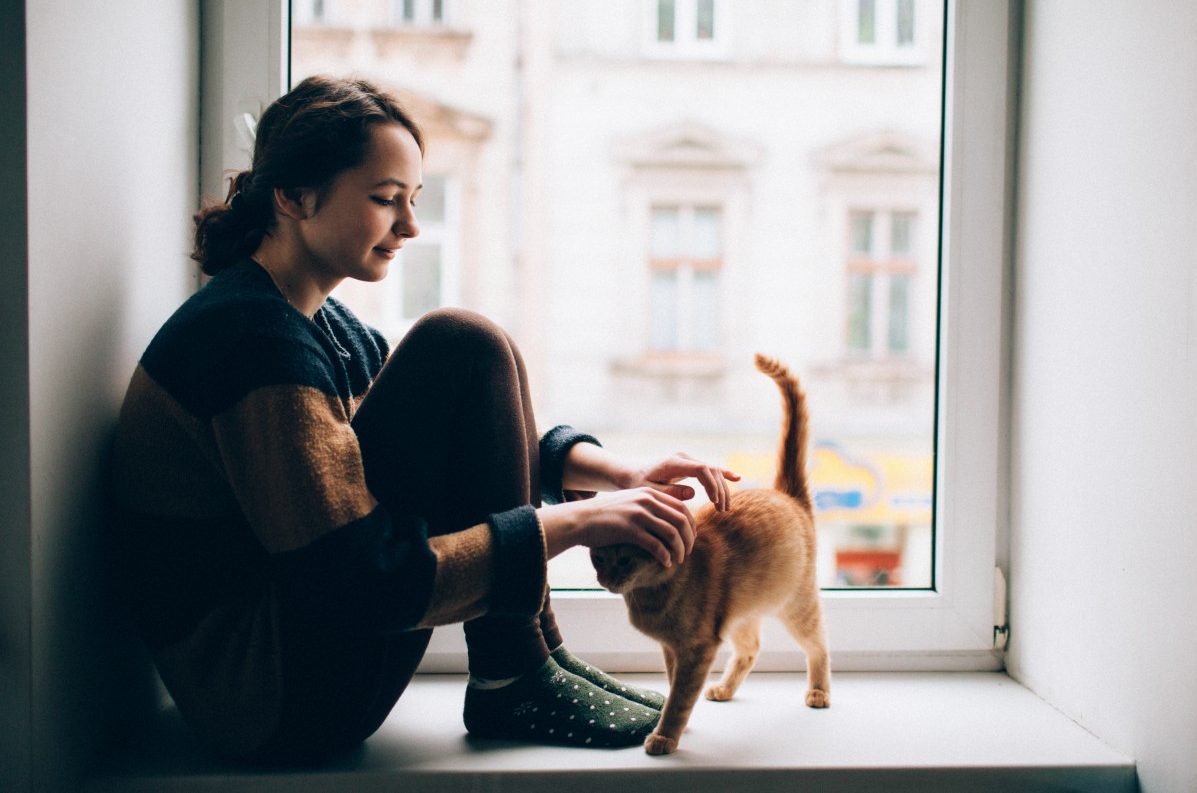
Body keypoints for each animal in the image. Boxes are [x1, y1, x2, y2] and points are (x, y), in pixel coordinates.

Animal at [591, 354, 833, 757]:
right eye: (598, 558)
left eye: (625, 559)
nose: (606, 579)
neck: (653, 593)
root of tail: (785, 494)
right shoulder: (673, 648)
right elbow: (674, 684)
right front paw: (678, 728)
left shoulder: (697, 648)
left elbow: (680, 696)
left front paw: (666, 736)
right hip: (743, 613)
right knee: (751, 649)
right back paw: (725, 689)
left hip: (797, 607)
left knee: (819, 646)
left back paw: (818, 691)